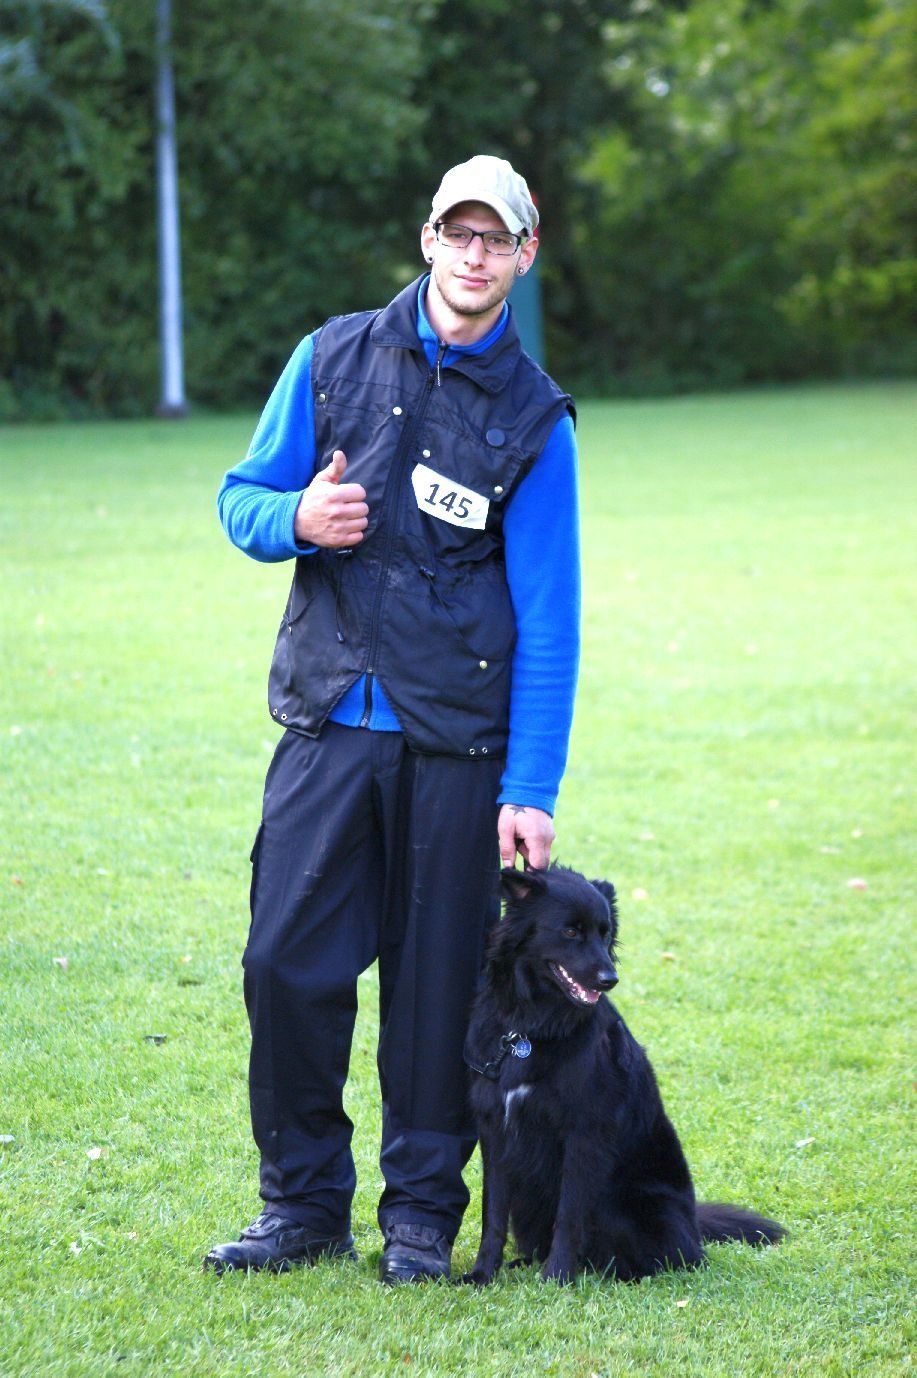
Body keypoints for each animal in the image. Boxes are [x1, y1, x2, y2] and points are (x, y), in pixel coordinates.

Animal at [462, 864, 784, 1285]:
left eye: (605, 933)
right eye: (570, 931)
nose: (609, 979)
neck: (531, 1027)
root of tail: (694, 1227)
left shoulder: (583, 1135)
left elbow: (569, 1215)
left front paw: (557, 1279)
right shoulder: (496, 1132)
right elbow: (493, 1214)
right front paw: (482, 1274)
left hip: (630, 1205)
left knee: (670, 1258)